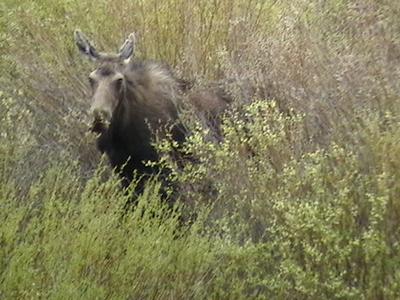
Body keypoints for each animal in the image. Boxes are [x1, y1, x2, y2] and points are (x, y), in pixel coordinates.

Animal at [74, 30, 230, 202]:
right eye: (91, 78)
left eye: (119, 80)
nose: (98, 118)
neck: (122, 129)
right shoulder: (122, 167)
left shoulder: (162, 165)